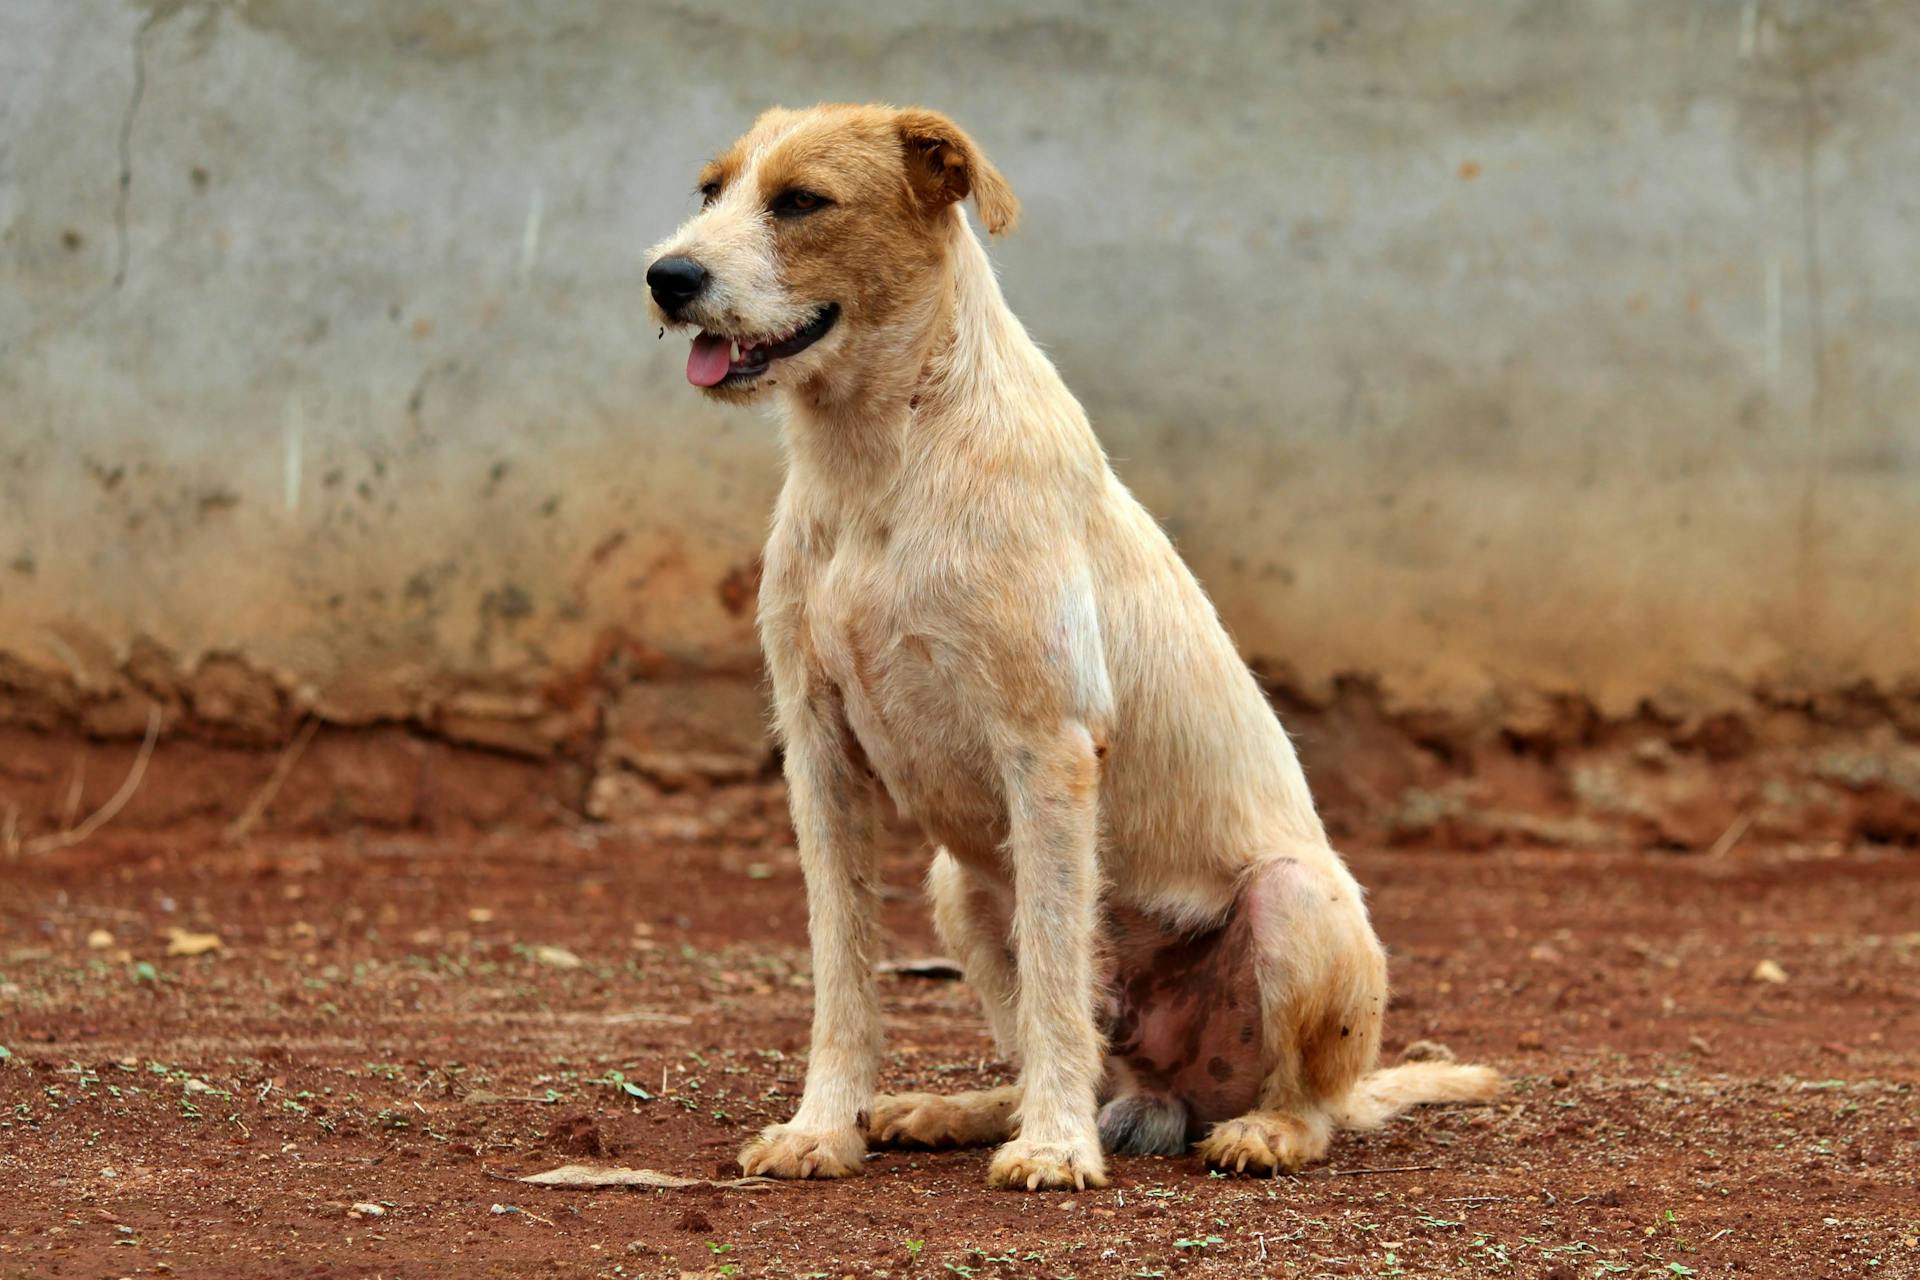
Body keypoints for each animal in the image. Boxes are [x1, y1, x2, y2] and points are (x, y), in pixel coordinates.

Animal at [645, 102, 1497, 1189]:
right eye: (711, 190)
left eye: (801, 202)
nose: (667, 276)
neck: (881, 456)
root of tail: (1173, 1088)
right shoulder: (819, 748)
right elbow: (842, 966)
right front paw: (824, 1125)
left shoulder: (1045, 746)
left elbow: (1056, 966)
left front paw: (1052, 1149)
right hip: (959, 887)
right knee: (1081, 1049)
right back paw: (965, 1109)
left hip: (1297, 898)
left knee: (1309, 1100)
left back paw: (1256, 1129)